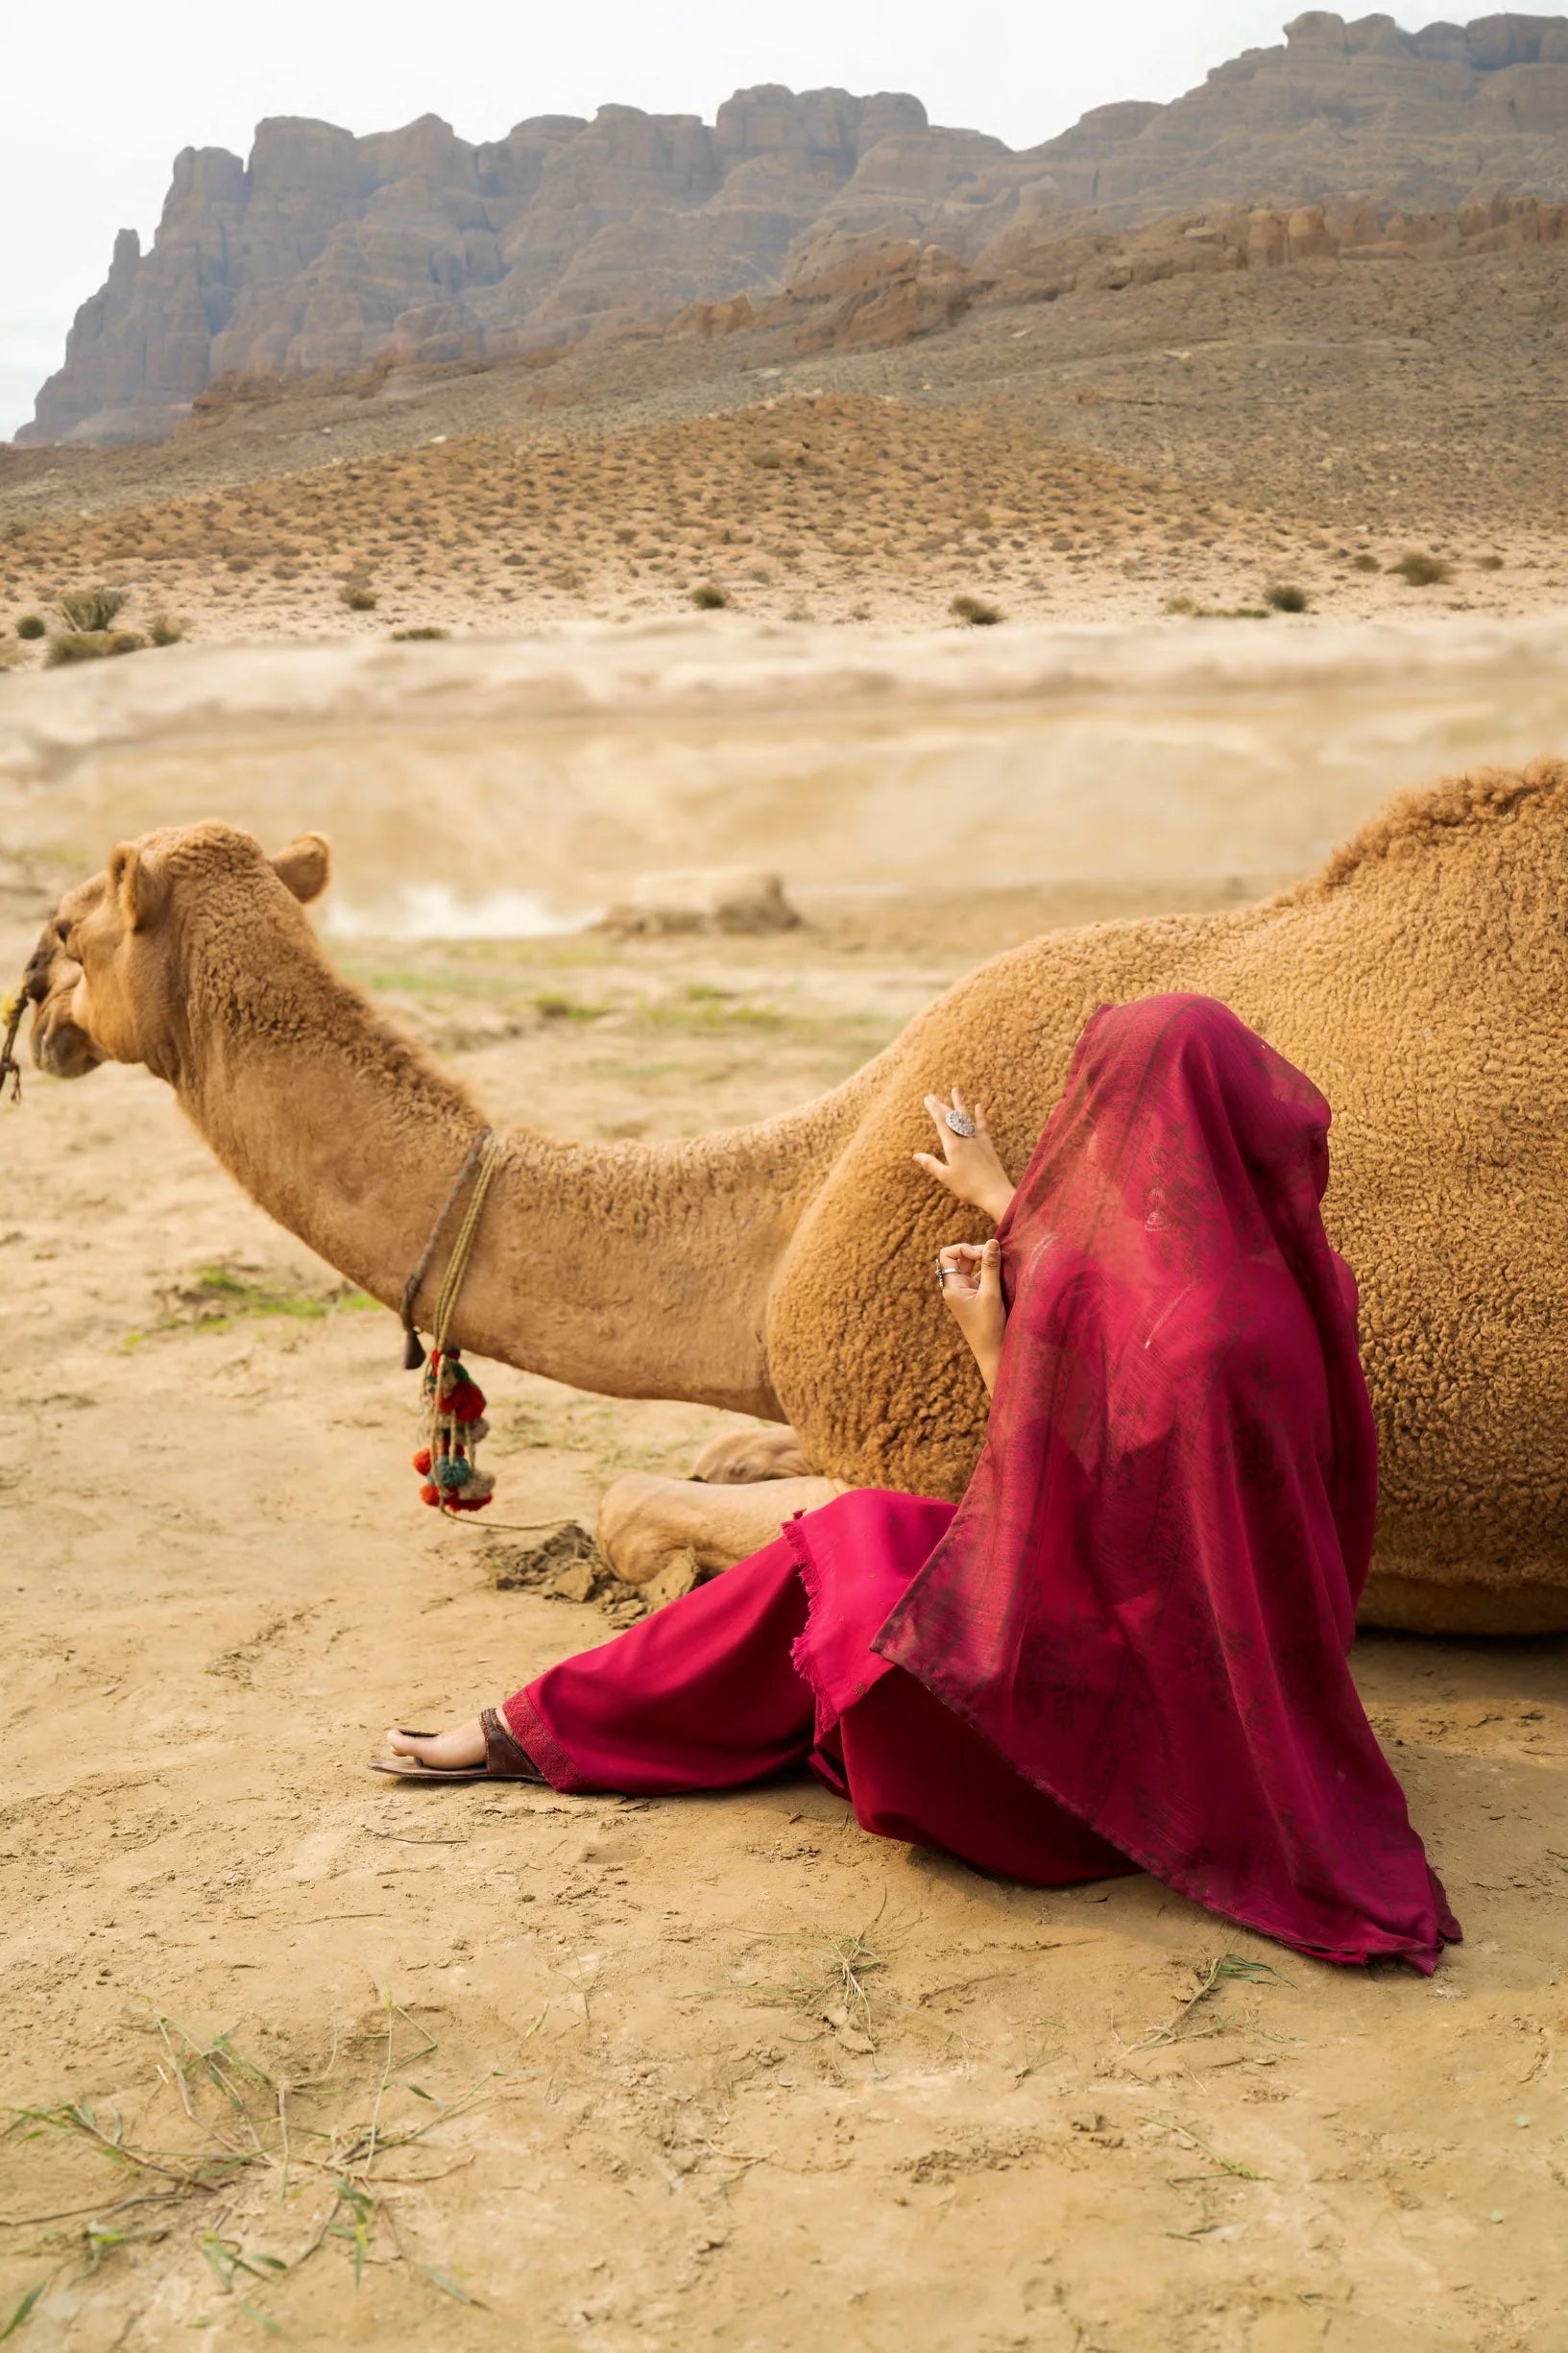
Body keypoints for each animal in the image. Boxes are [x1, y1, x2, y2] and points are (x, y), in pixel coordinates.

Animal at [21, 762, 1568, 1628]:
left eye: (64, 926)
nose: (32, 1018)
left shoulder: (942, 1428)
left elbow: (635, 1499)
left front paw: (672, 1574)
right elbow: (714, 1452)